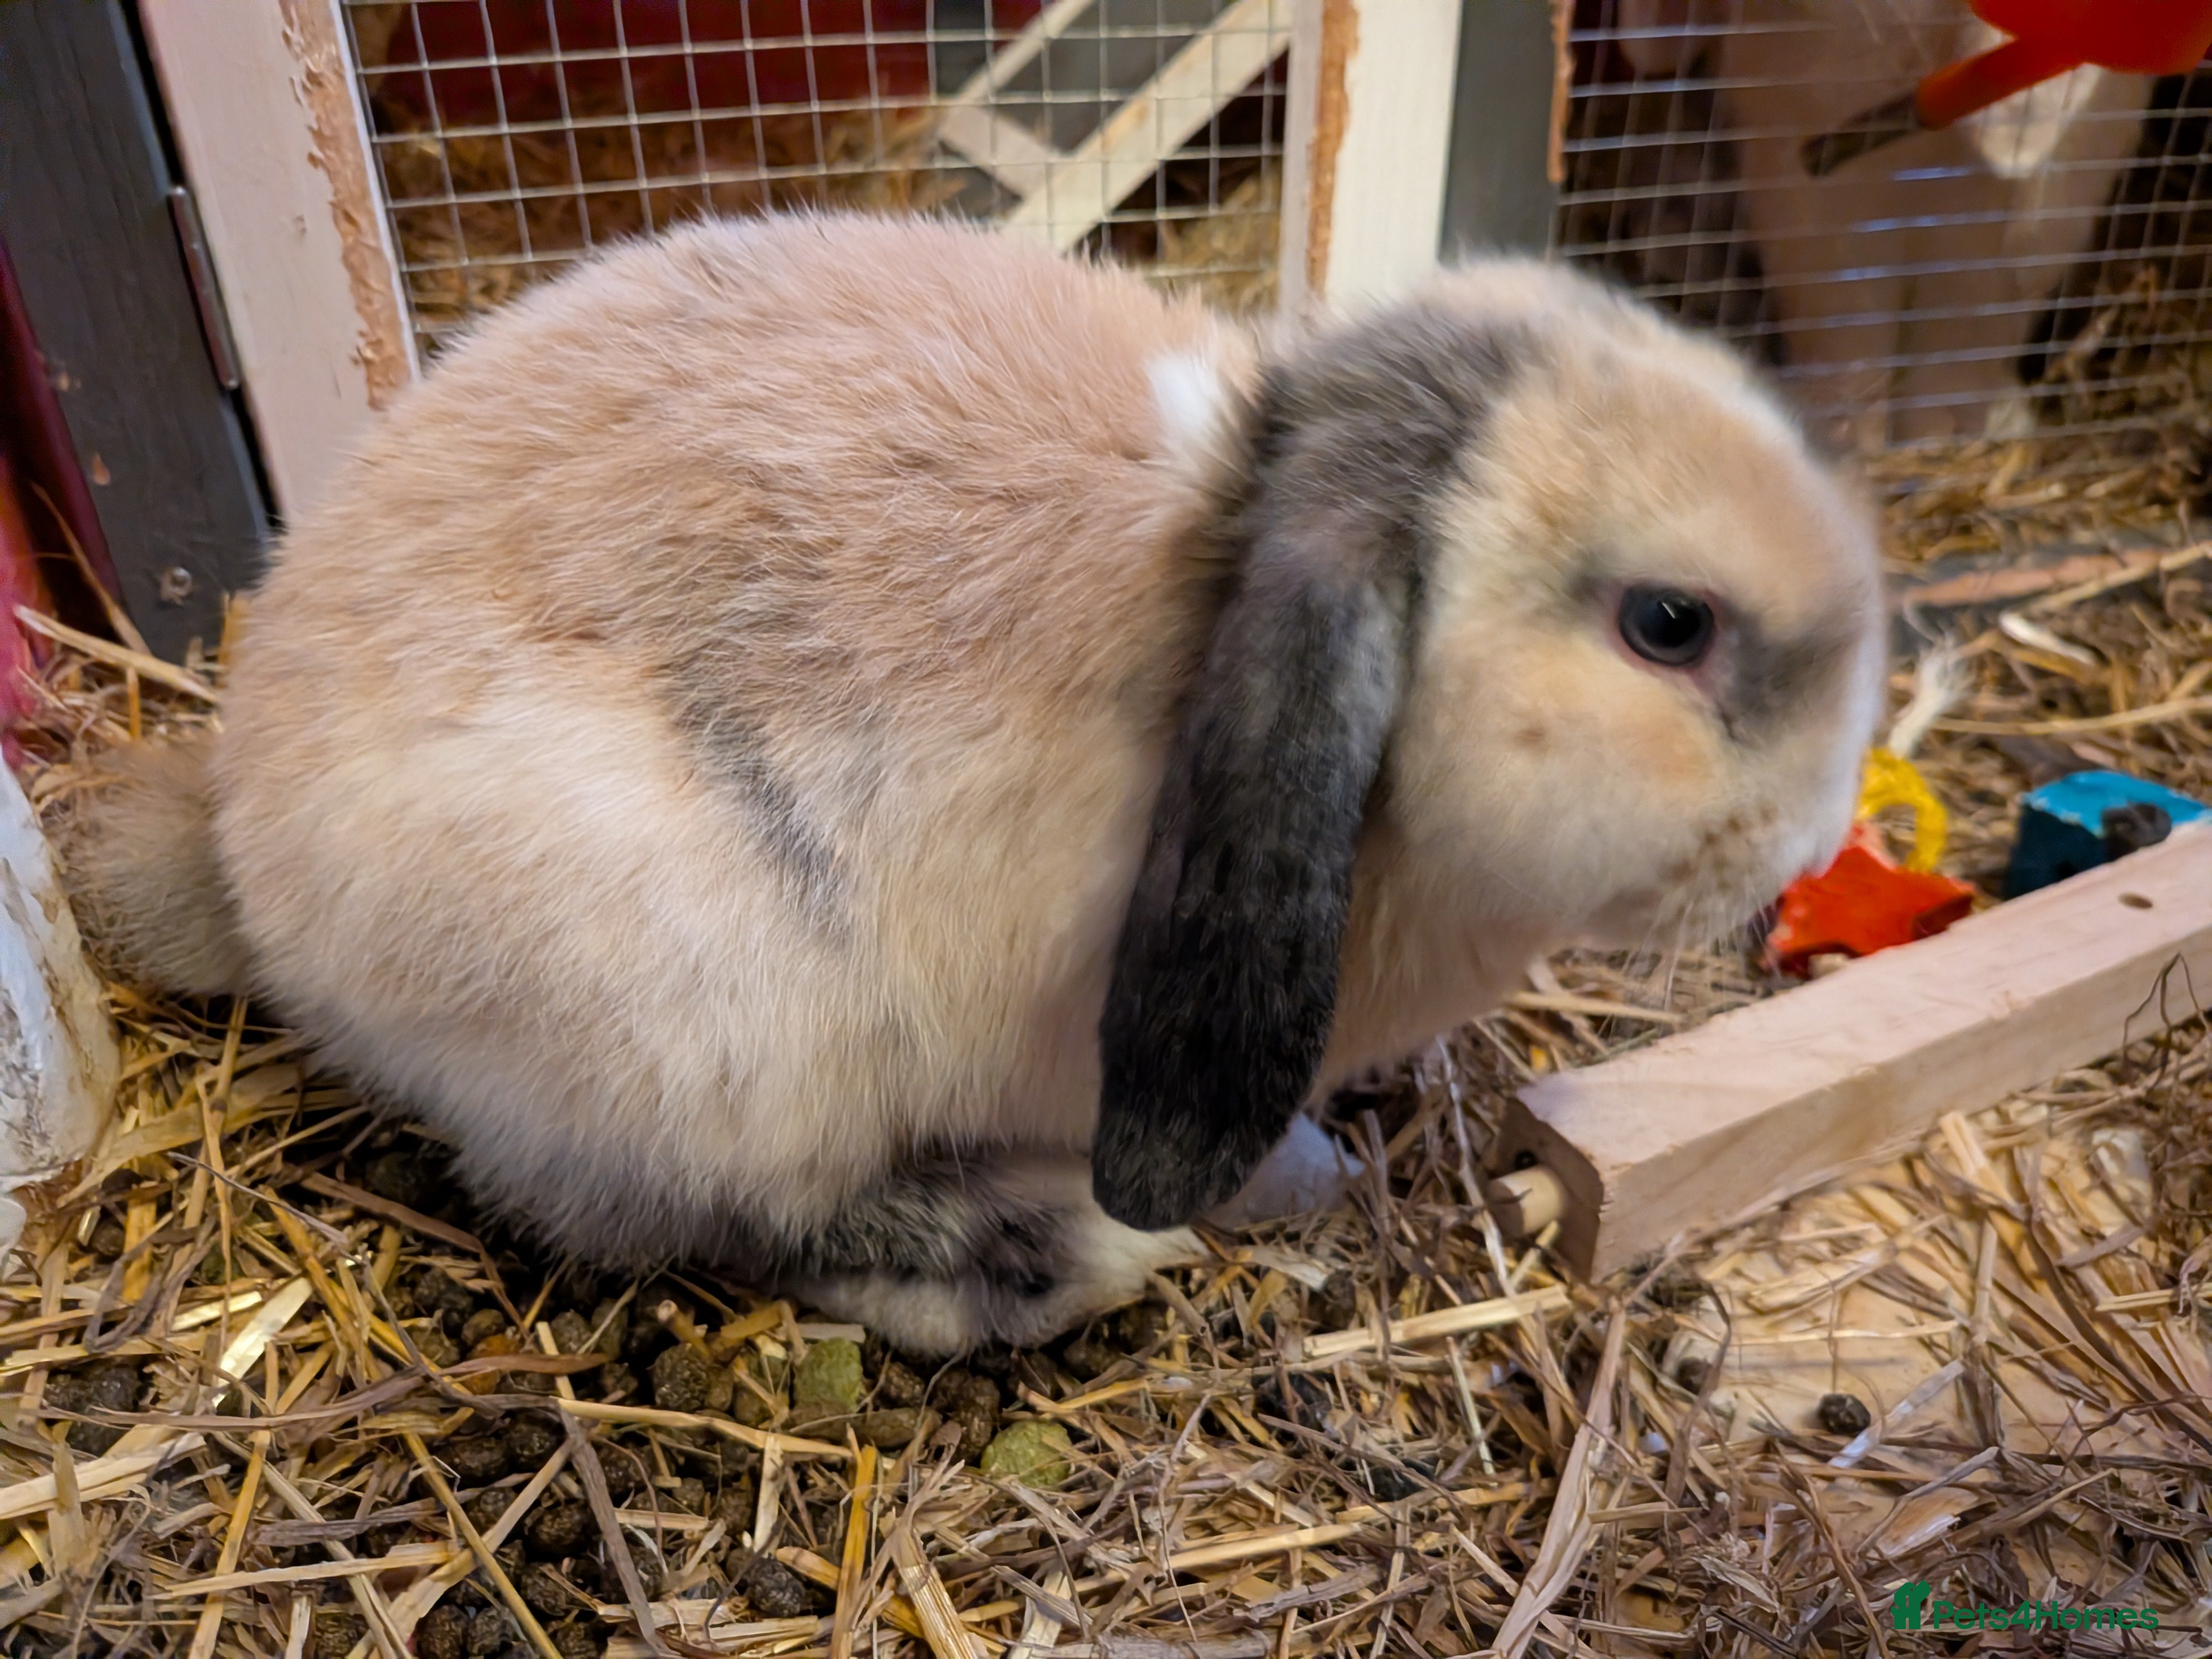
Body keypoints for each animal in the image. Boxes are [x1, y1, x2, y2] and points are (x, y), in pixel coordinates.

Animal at [68, 213, 1886, 1356]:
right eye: (1668, 625)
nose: (1803, 845)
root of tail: (248, 864)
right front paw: (1296, 1180)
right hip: (697, 1030)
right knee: (708, 1221)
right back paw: (1045, 1251)